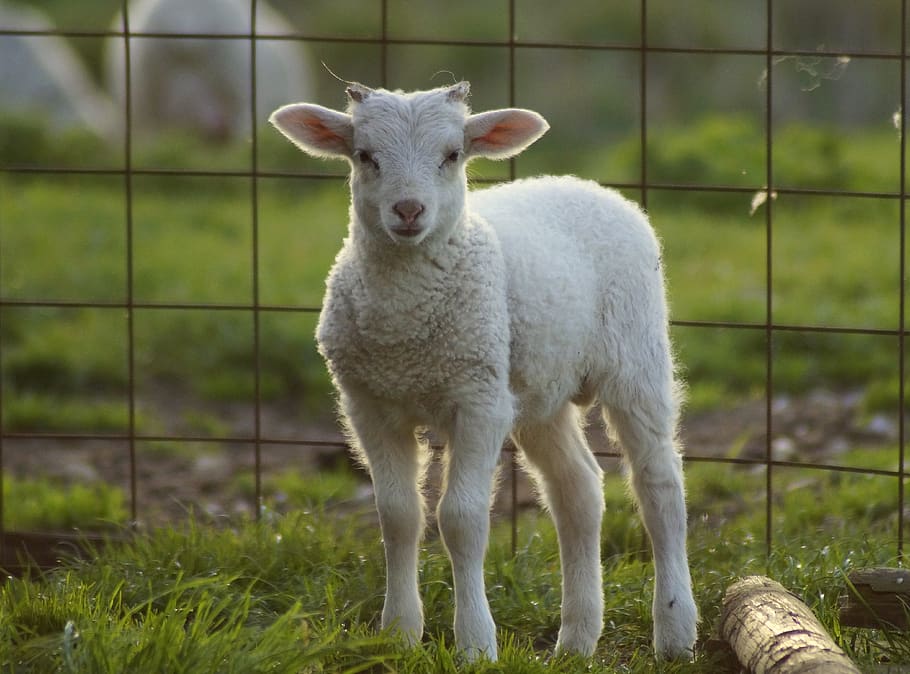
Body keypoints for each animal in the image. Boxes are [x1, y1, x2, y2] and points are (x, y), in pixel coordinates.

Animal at [269, 81, 697, 662]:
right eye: (364, 156)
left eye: (452, 155)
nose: (408, 209)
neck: (406, 327)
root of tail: (585, 184)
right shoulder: (370, 404)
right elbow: (398, 515)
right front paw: (398, 635)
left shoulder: (477, 401)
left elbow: (461, 520)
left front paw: (474, 643)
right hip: (536, 389)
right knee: (578, 490)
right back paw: (576, 639)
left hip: (634, 354)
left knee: (660, 483)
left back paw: (674, 631)